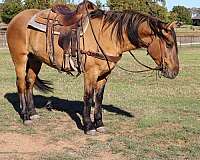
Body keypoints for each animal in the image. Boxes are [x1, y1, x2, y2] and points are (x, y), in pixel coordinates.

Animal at [6, 0, 180, 134]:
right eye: (169, 44)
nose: (175, 72)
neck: (107, 36)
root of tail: (16, 18)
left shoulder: (104, 74)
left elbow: (99, 98)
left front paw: (100, 124)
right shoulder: (90, 73)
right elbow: (88, 97)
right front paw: (89, 126)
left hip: (35, 60)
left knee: (29, 83)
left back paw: (33, 113)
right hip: (20, 58)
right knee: (20, 84)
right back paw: (25, 116)